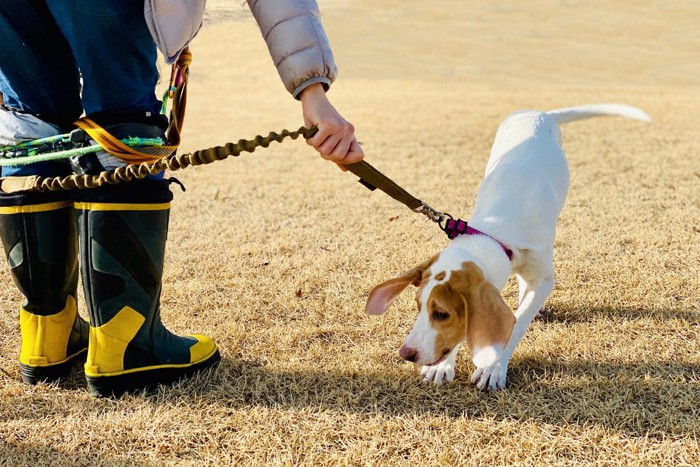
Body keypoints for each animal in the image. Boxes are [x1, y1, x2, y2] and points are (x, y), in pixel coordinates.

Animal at [366, 105, 652, 392]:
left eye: (441, 314)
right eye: (418, 306)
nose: (406, 354)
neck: (496, 234)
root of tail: (538, 113)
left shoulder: (544, 277)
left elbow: (517, 322)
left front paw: (493, 367)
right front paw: (443, 366)